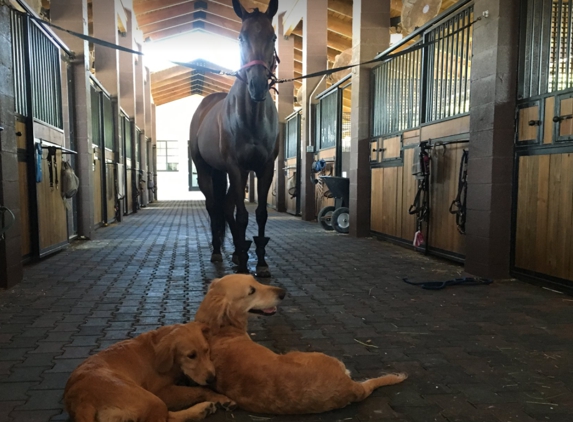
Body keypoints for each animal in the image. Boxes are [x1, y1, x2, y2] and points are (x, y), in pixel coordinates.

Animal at [66, 322, 236, 420]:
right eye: (191, 356)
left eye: (207, 351)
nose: (212, 378)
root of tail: (81, 398)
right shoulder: (161, 391)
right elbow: (198, 390)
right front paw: (219, 396)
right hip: (151, 399)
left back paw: (202, 410)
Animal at [190, 0, 280, 276]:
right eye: (241, 37)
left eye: (273, 36)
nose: (257, 86)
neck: (252, 118)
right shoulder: (237, 168)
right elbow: (242, 216)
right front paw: (244, 264)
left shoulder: (265, 168)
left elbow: (260, 214)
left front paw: (260, 263)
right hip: (206, 170)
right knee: (214, 207)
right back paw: (219, 252)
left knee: (226, 206)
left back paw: (238, 253)